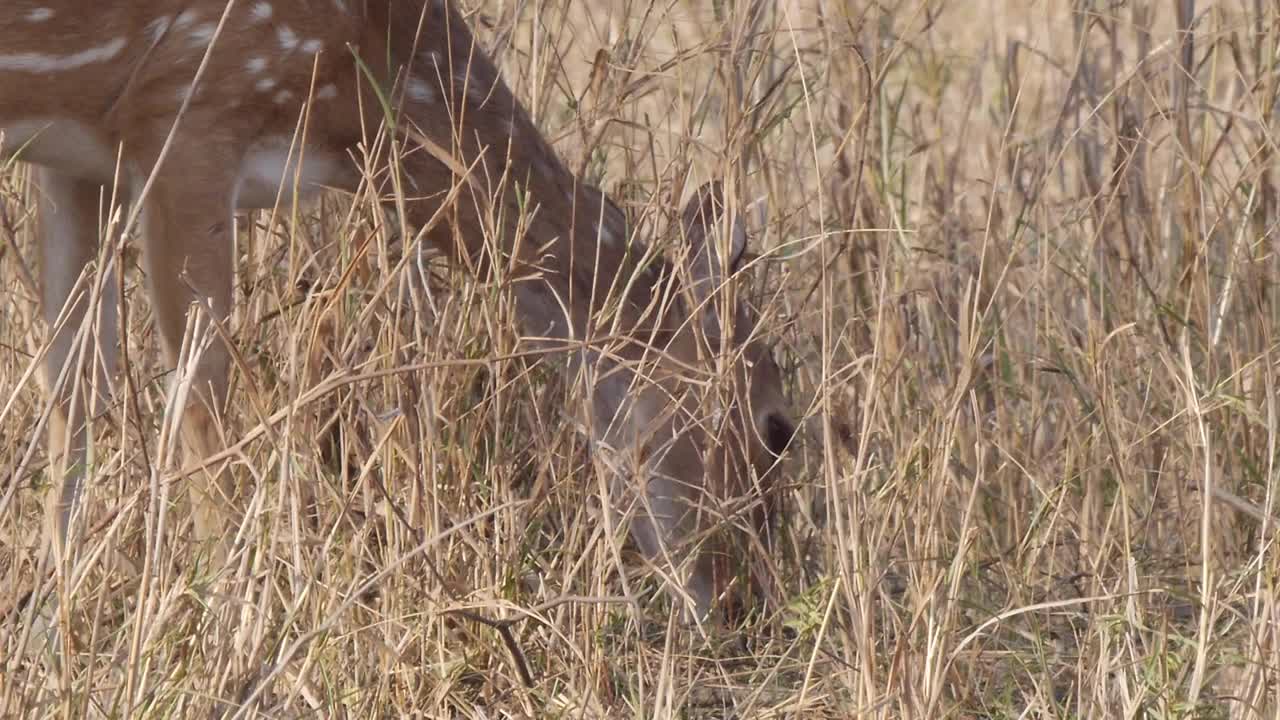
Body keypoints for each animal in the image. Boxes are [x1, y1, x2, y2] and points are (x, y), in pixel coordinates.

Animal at [0, 0, 793, 617]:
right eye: (777, 425)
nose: (740, 601)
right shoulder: (189, 111)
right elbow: (202, 406)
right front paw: (224, 616)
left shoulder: (83, 156)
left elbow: (73, 386)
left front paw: (51, 615)